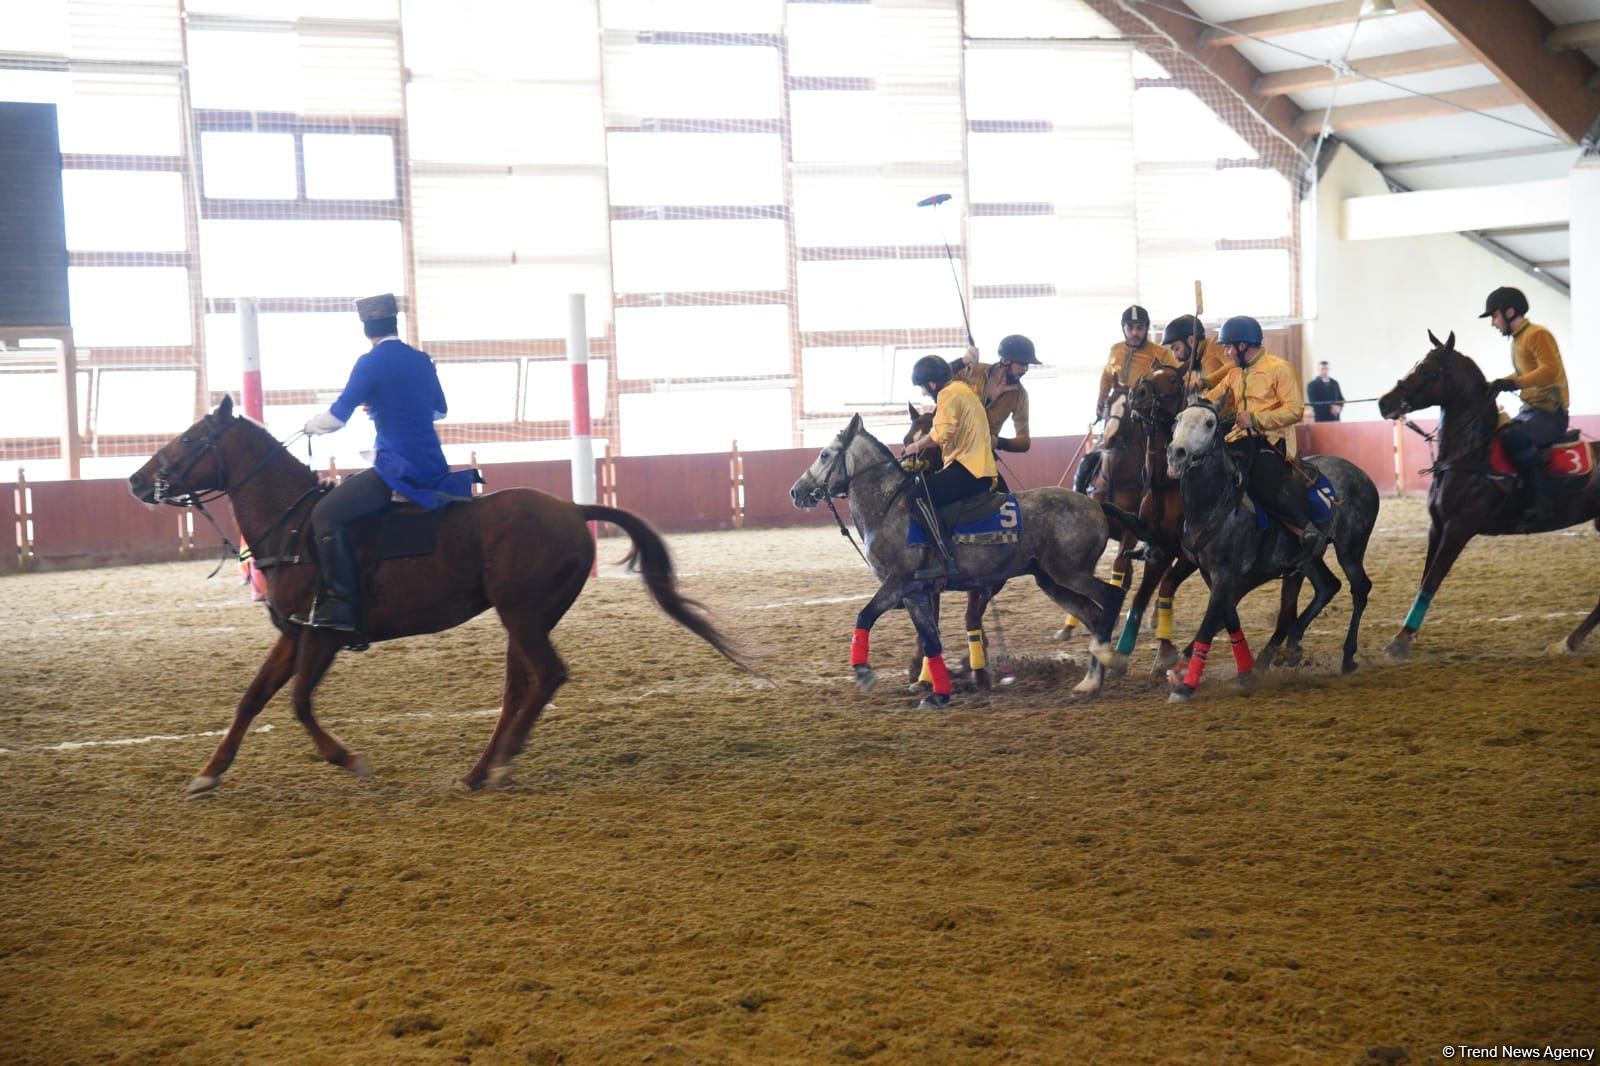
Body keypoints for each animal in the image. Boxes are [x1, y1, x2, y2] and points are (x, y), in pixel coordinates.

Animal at [128, 396, 745, 787]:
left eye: (190, 439)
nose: (135, 481)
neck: (294, 526)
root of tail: (573, 508)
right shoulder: (295, 634)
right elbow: (252, 699)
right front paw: (208, 773)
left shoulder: (323, 636)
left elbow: (300, 704)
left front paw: (348, 759)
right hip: (527, 617)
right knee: (519, 688)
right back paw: (480, 770)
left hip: (522, 614)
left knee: (546, 677)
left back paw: (498, 764)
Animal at [790, 412, 1139, 697]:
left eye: (824, 454)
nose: (796, 491)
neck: (889, 507)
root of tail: (1096, 505)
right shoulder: (915, 592)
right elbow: (930, 639)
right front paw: (934, 689)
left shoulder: (897, 583)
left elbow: (864, 616)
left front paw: (864, 673)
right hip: (1052, 580)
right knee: (1093, 615)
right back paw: (1090, 681)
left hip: (1070, 572)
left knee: (1110, 596)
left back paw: (1109, 657)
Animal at [1158, 398, 1382, 697]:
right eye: (1178, 419)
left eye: (1209, 423)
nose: (1176, 453)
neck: (1214, 506)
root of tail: (1363, 477)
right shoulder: (1212, 574)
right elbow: (1228, 616)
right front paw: (1244, 671)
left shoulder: (1227, 575)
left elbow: (1210, 624)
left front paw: (1185, 685)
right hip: (1308, 558)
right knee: (1327, 586)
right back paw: (1288, 647)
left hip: (1351, 548)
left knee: (1359, 589)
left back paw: (1346, 656)